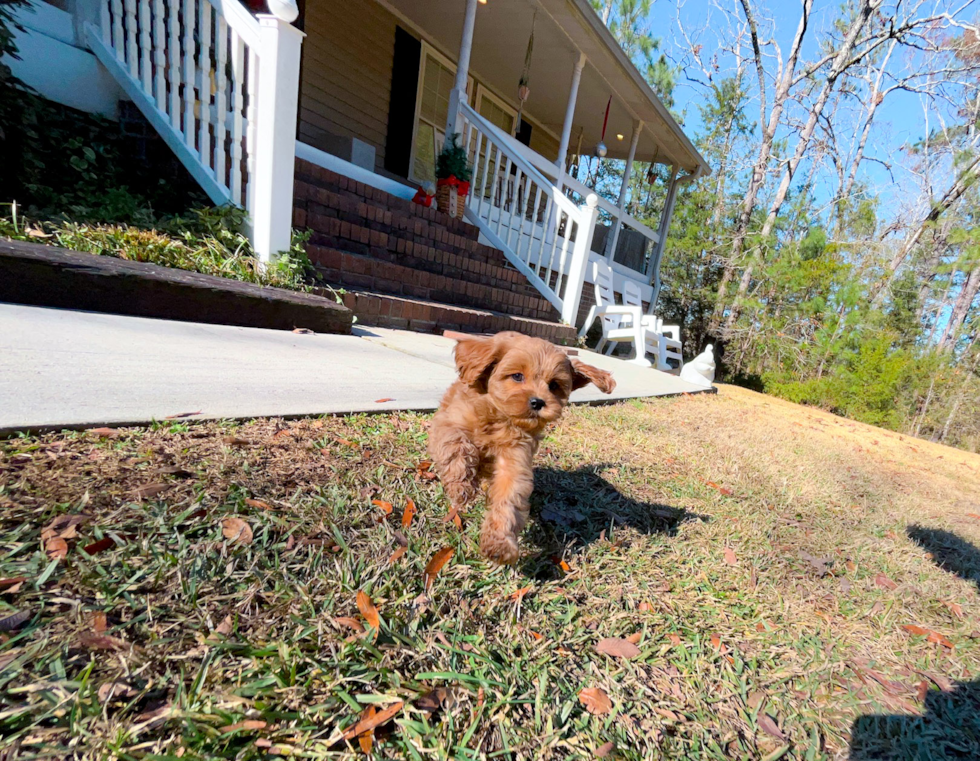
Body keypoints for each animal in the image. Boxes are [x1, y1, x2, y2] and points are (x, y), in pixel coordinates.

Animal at [426, 332, 612, 564]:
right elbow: (456, 445)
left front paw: (500, 543)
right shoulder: (448, 422)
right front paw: (461, 486)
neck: (498, 415)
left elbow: (509, 495)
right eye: (516, 376)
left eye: (554, 385)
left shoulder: (515, 457)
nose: (538, 402)